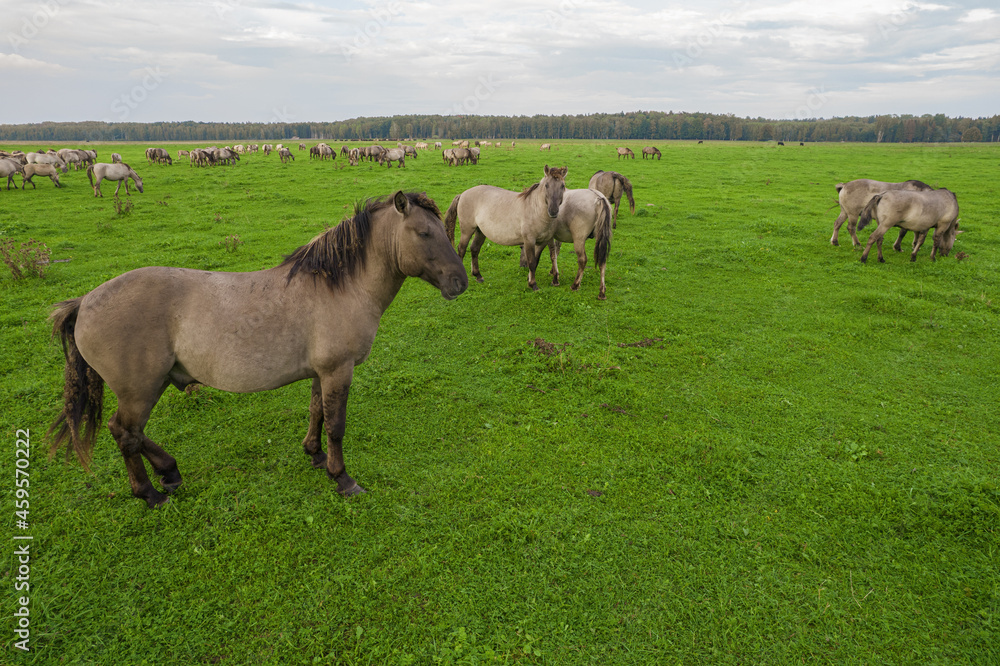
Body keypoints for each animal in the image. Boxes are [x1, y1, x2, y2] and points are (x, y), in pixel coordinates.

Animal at [47, 191, 468, 509]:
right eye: (424, 233)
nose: (460, 282)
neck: (338, 286)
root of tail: (85, 302)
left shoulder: (322, 372)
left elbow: (316, 412)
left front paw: (314, 455)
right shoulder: (338, 370)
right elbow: (336, 425)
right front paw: (343, 478)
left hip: (155, 383)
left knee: (130, 433)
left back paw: (169, 472)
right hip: (140, 390)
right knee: (126, 433)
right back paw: (150, 493)